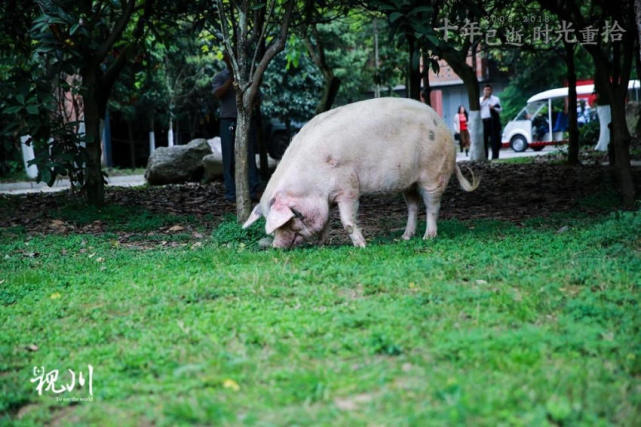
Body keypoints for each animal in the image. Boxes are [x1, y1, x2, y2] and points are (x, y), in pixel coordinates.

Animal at [242, 96, 478, 247]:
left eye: (290, 220)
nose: (276, 246)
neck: (311, 182)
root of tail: (443, 126)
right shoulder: (326, 199)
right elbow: (326, 221)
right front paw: (322, 245)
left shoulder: (348, 187)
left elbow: (347, 220)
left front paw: (362, 246)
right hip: (408, 182)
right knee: (412, 206)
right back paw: (405, 237)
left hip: (433, 173)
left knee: (432, 206)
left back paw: (428, 238)